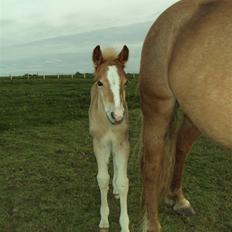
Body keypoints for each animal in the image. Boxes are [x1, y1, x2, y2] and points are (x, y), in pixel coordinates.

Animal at [140, 0, 232, 231]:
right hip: (158, 105)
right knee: (151, 165)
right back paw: (153, 223)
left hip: (197, 113)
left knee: (180, 147)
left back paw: (178, 199)